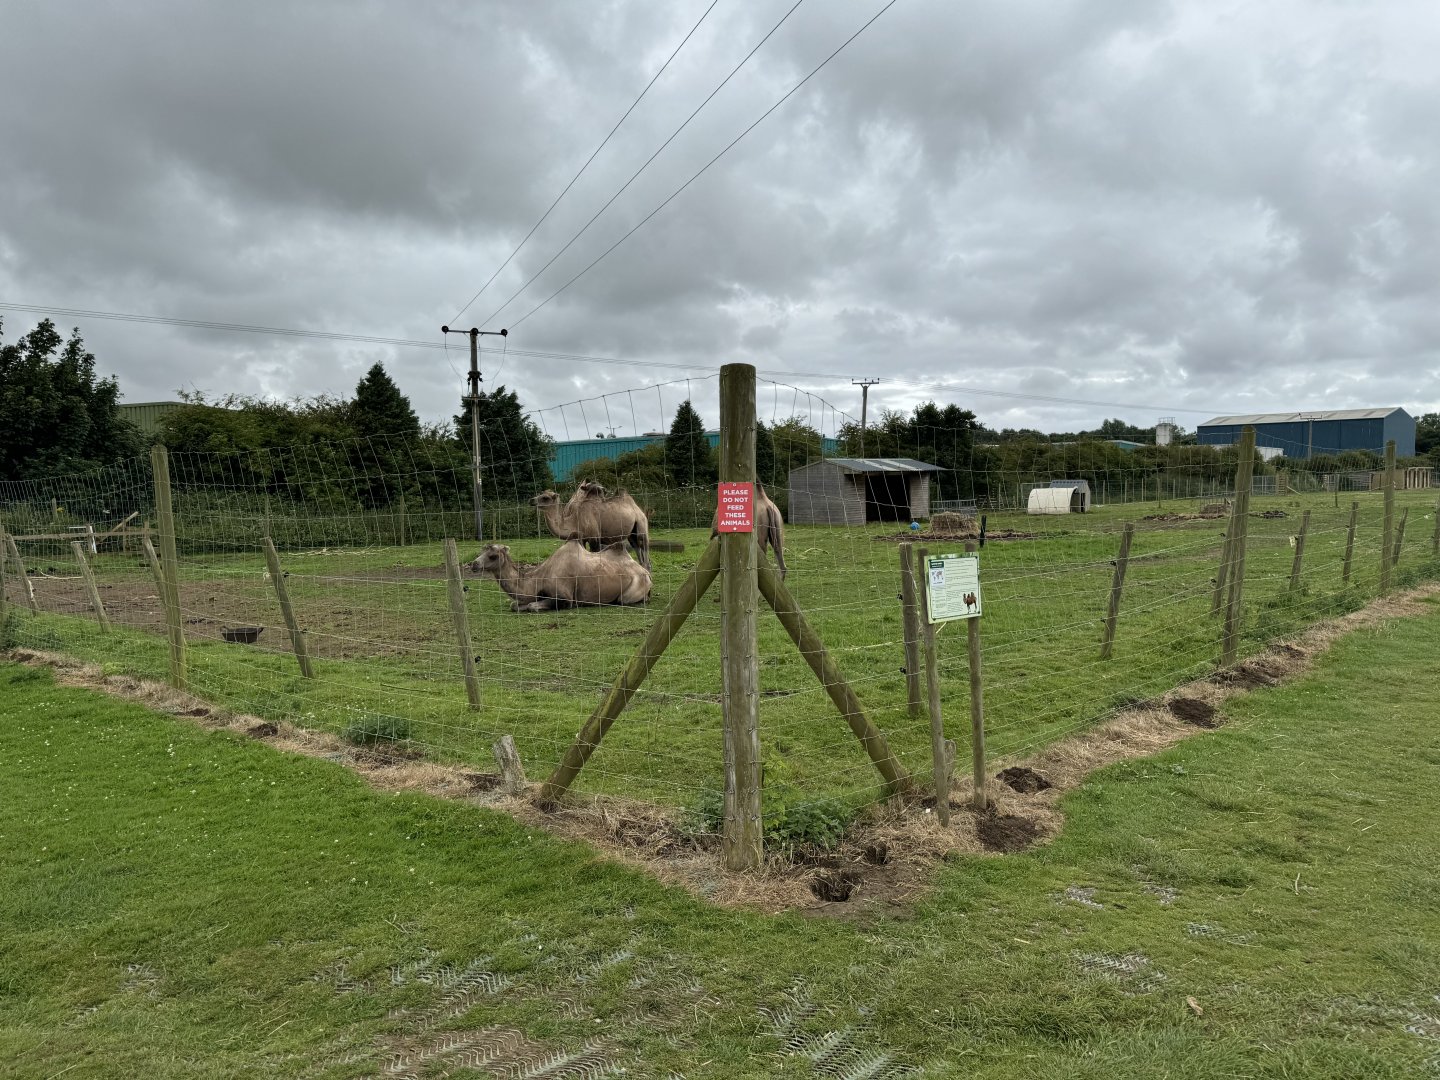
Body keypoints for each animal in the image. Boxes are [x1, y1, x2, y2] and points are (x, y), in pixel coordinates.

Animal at [470, 540, 652, 612]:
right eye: (480, 551)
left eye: (492, 556)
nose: (474, 564)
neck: (538, 579)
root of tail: (647, 573)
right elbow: (514, 605)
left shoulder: (564, 598)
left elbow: (533, 606)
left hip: (633, 588)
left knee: (624, 600)